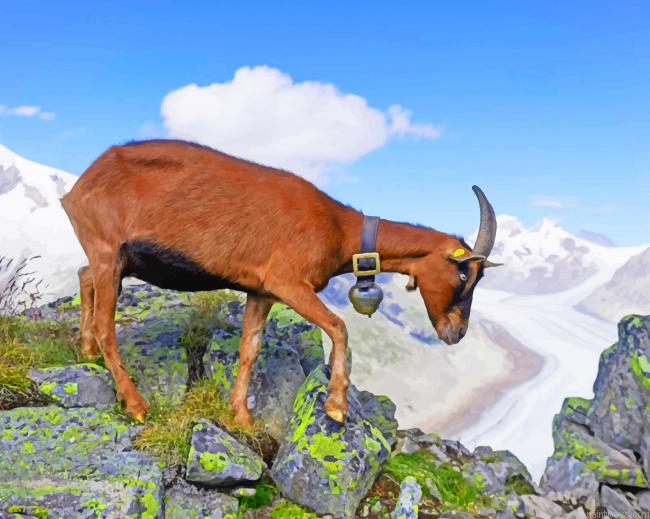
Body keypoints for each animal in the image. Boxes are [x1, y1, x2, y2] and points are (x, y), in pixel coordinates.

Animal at [61, 139, 499, 426]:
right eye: (464, 273)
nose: (456, 332)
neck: (340, 228)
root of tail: (77, 187)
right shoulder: (288, 281)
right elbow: (339, 326)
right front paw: (336, 406)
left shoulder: (261, 291)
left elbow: (249, 348)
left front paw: (241, 416)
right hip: (107, 249)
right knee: (106, 323)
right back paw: (134, 403)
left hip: (115, 259)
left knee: (84, 277)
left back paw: (85, 350)